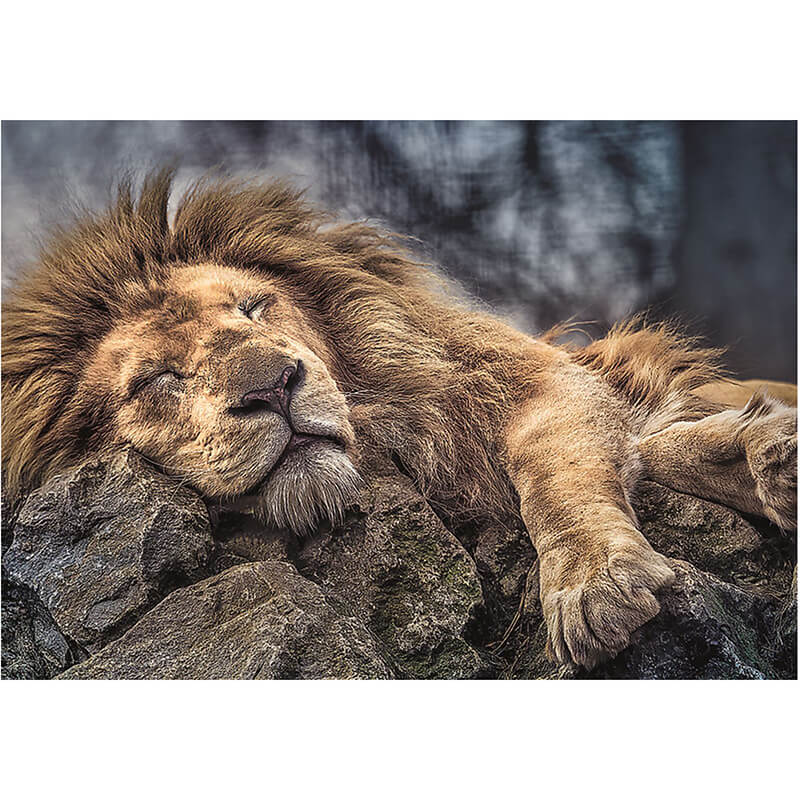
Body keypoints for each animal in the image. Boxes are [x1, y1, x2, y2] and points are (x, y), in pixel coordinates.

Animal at [2, 170, 796, 670]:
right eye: (158, 379)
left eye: (255, 307)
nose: (275, 386)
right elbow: (651, 446)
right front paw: (757, 455)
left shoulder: (536, 380)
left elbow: (557, 473)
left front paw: (594, 582)